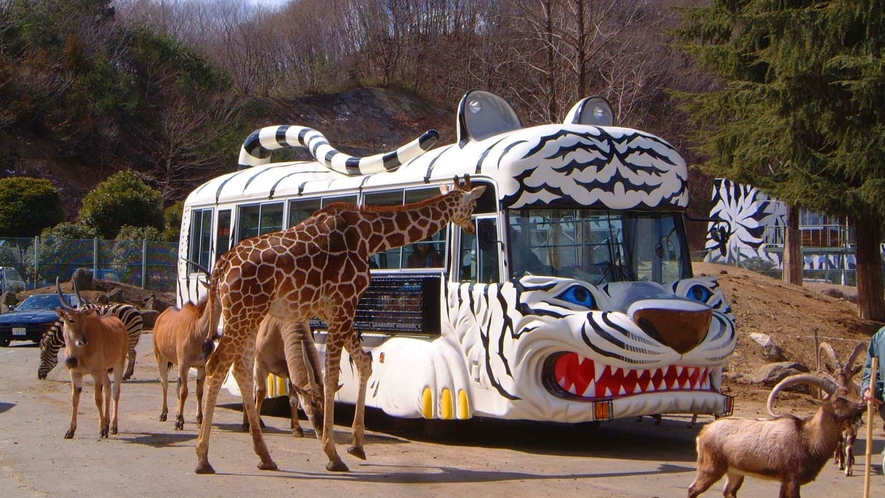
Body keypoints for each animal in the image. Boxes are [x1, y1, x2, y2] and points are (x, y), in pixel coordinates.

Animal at [153, 298, 212, 430]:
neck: (198, 329)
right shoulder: (184, 365)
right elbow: (184, 392)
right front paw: (179, 421)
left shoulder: (201, 367)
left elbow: (199, 392)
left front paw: (199, 419)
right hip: (161, 359)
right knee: (165, 384)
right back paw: (164, 414)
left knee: (177, 386)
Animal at [194, 177, 486, 472]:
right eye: (473, 205)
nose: (472, 226)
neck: (370, 237)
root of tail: (221, 266)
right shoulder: (345, 302)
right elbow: (332, 375)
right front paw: (333, 454)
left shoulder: (333, 311)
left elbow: (363, 364)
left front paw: (357, 445)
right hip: (243, 313)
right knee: (217, 365)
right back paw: (203, 458)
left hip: (248, 315)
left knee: (240, 368)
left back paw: (264, 456)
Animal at [692, 376, 864, 496]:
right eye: (839, 399)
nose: (862, 403)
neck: (808, 437)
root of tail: (704, 431)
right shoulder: (792, 480)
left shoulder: (786, 481)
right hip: (711, 468)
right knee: (692, 490)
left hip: (735, 473)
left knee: (728, 492)